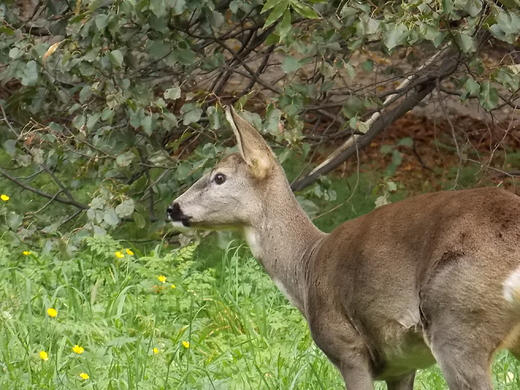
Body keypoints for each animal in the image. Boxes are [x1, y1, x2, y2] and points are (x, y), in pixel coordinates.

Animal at [168, 105, 520, 388]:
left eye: (219, 177)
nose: (173, 208)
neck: (306, 267)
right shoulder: (401, 366)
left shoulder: (346, 347)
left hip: (457, 324)